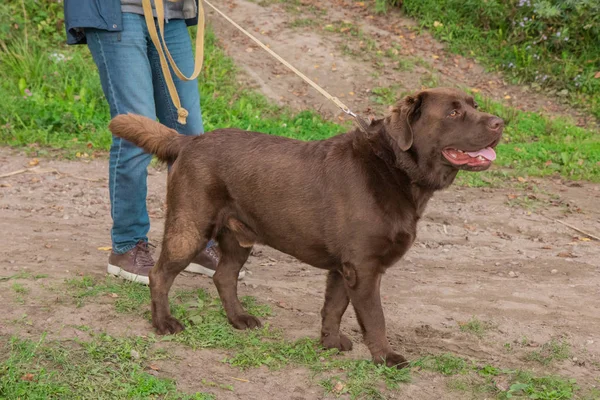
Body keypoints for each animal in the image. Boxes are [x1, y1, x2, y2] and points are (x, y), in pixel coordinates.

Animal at [108, 87, 502, 368]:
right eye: (453, 112)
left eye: (475, 104)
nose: (500, 123)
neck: (395, 169)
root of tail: (188, 141)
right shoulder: (364, 267)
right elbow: (375, 318)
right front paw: (387, 359)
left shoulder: (345, 268)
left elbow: (334, 308)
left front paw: (330, 343)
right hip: (190, 227)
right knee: (160, 275)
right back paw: (163, 323)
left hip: (237, 235)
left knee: (224, 277)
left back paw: (239, 319)